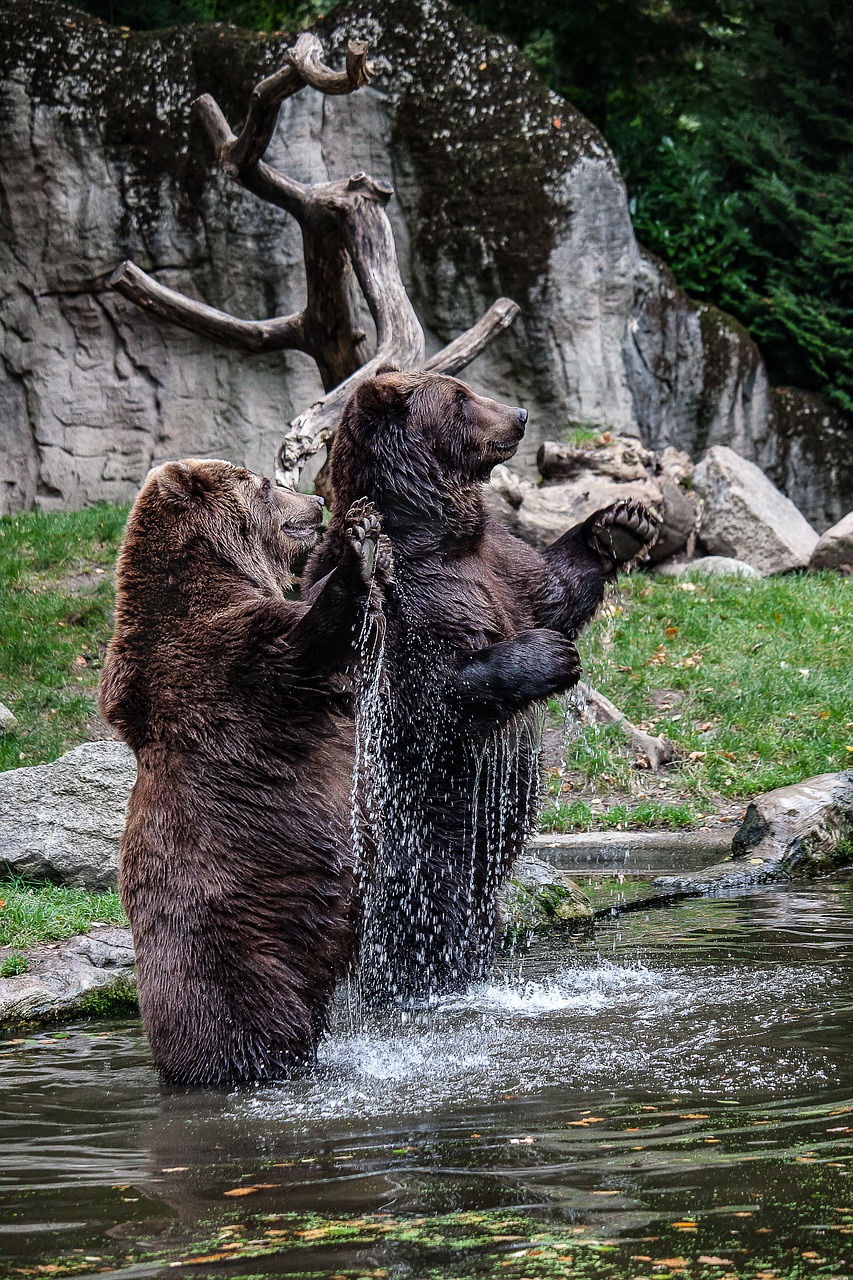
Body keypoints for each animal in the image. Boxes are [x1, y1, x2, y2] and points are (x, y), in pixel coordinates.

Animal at [96, 455, 381, 1085]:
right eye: (268, 483)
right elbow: (304, 643)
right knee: (254, 1017)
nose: (317, 504)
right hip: (236, 950)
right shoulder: (219, 657)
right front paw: (358, 549)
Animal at [307, 373, 655, 1003]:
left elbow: (553, 588)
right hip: (414, 836)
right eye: (462, 397)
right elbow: (433, 689)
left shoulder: (500, 564)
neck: (436, 532)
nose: (519, 414)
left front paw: (620, 522)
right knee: (431, 907)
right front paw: (550, 656)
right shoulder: (412, 597)